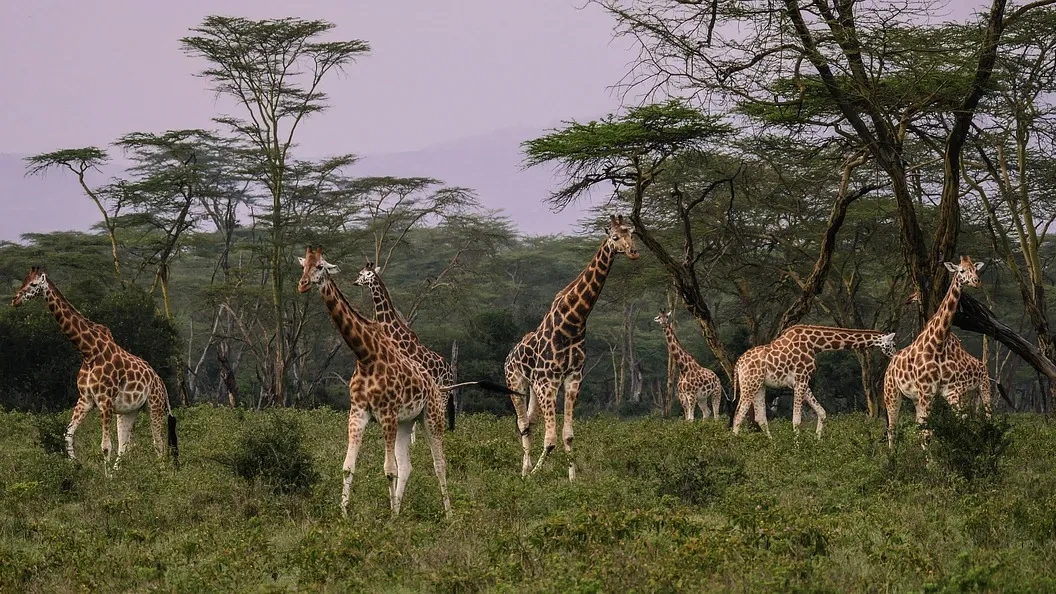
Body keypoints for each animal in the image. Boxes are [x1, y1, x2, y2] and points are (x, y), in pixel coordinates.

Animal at [11, 266, 179, 472]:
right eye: (24, 281)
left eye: (34, 284)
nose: (15, 300)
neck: (88, 352)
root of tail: (160, 382)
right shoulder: (85, 399)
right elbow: (68, 436)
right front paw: (77, 465)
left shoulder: (105, 400)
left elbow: (106, 446)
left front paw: (104, 477)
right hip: (129, 411)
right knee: (125, 446)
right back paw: (118, 474)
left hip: (154, 405)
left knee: (158, 444)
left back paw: (161, 474)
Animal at [504, 214, 639, 480]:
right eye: (615, 236)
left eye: (632, 233)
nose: (633, 252)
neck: (573, 323)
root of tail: (509, 356)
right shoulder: (548, 382)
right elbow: (551, 439)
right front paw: (534, 476)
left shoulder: (572, 378)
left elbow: (567, 435)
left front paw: (573, 480)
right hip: (516, 383)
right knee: (523, 424)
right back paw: (524, 472)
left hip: (533, 388)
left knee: (530, 423)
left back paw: (526, 468)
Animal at [731, 324, 897, 439]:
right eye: (893, 344)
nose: (895, 355)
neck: (815, 344)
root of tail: (738, 365)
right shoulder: (801, 378)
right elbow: (797, 420)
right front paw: (797, 447)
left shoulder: (801, 381)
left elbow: (822, 412)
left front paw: (817, 441)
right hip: (749, 384)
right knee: (738, 415)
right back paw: (734, 446)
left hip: (759, 386)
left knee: (760, 418)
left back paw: (771, 444)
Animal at [883, 258, 985, 448]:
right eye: (961, 271)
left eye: (975, 270)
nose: (976, 281)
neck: (938, 345)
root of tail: (891, 362)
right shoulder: (926, 391)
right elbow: (927, 432)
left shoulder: (949, 390)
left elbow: (959, 421)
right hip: (892, 393)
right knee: (892, 428)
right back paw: (891, 454)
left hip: (915, 398)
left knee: (916, 426)